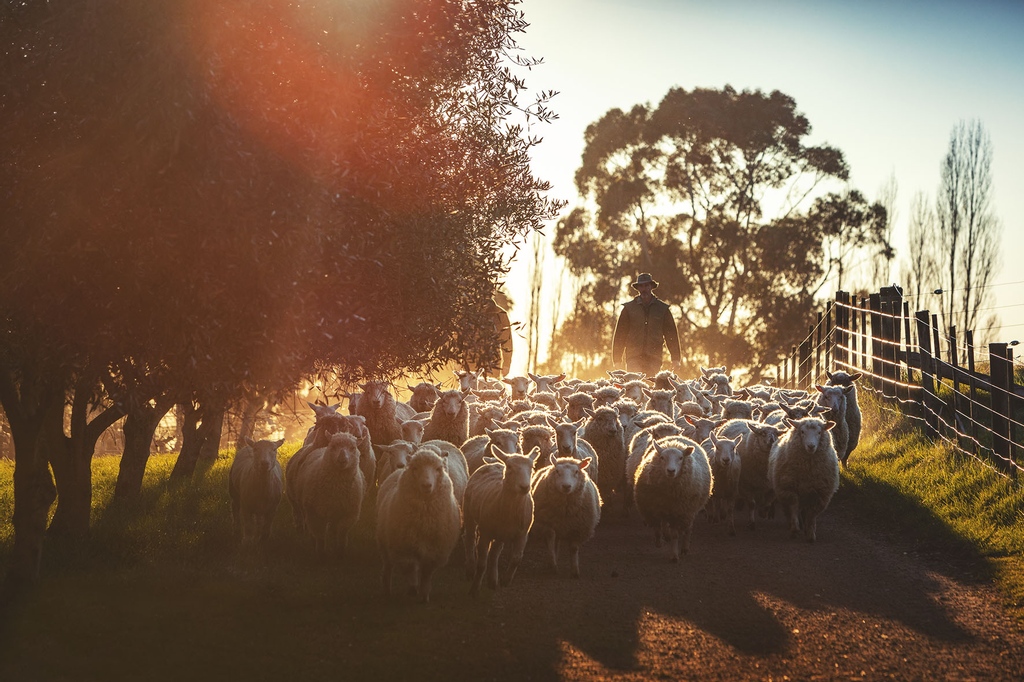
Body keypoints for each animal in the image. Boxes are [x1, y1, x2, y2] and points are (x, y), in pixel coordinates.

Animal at [375, 446, 462, 602]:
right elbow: (411, 568)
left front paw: (424, 594)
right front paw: (413, 588)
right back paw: (386, 590)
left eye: (438, 469)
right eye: (415, 468)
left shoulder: (435, 551)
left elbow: (426, 573)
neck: (424, 520)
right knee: (388, 566)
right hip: (384, 541)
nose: (427, 485)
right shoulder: (406, 548)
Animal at [463, 446, 540, 594]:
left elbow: (516, 559)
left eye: (532, 467)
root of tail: (495, 463)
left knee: (495, 552)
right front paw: (474, 589)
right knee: (469, 538)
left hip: (501, 533)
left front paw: (505, 580)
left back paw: (493, 580)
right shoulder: (485, 533)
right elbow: (482, 563)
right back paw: (470, 568)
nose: (525, 487)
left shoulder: (523, 534)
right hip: (469, 511)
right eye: (509, 466)